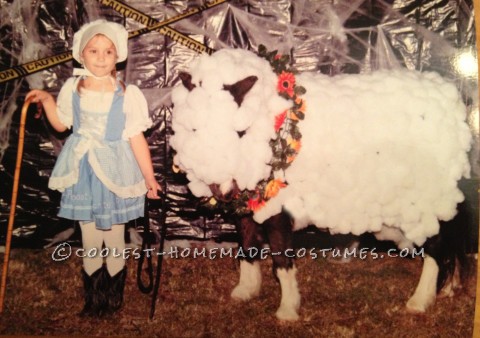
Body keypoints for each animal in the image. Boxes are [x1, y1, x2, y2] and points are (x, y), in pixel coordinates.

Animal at [170, 46, 472, 320]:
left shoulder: (279, 208)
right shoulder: (247, 205)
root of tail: (452, 102)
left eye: (240, 131)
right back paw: (449, 287)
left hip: (428, 196)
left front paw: (287, 310)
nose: (222, 190)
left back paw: (420, 300)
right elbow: (246, 247)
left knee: (436, 246)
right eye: (194, 128)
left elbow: (281, 260)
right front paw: (245, 290)